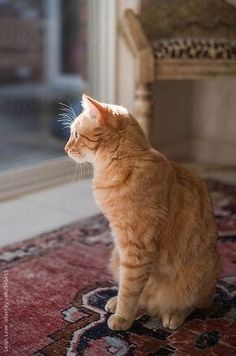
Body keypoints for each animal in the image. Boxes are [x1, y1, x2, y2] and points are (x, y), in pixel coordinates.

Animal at [64, 94, 219, 330]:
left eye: (75, 134)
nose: (65, 148)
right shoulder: (123, 248)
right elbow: (126, 284)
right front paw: (119, 304)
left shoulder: (136, 247)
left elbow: (129, 290)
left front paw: (123, 317)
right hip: (115, 256)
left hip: (195, 279)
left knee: (191, 303)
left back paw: (173, 315)